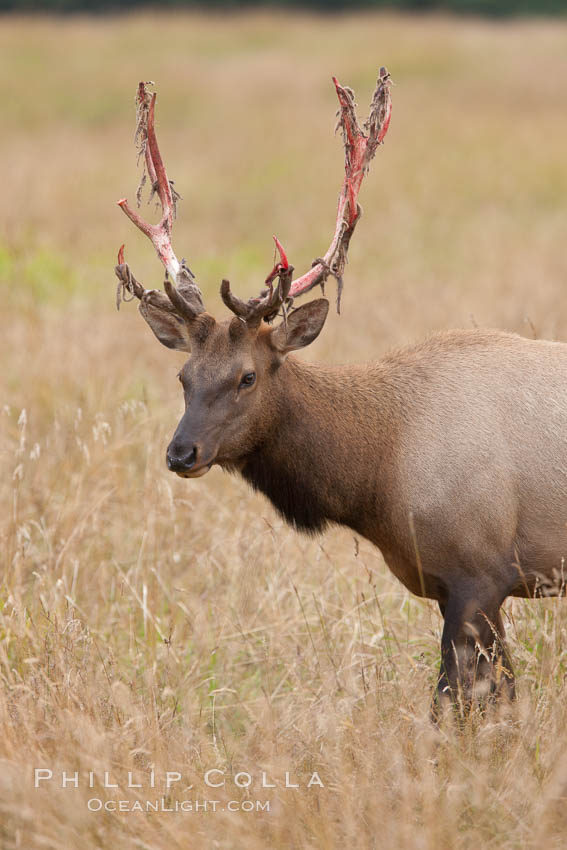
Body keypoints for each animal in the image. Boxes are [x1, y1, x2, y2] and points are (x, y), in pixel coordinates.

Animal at [114, 73, 567, 712]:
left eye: (247, 376)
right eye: (183, 378)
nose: (181, 454)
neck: (376, 476)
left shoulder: (480, 575)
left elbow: (457, 704)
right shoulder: (465, 586)